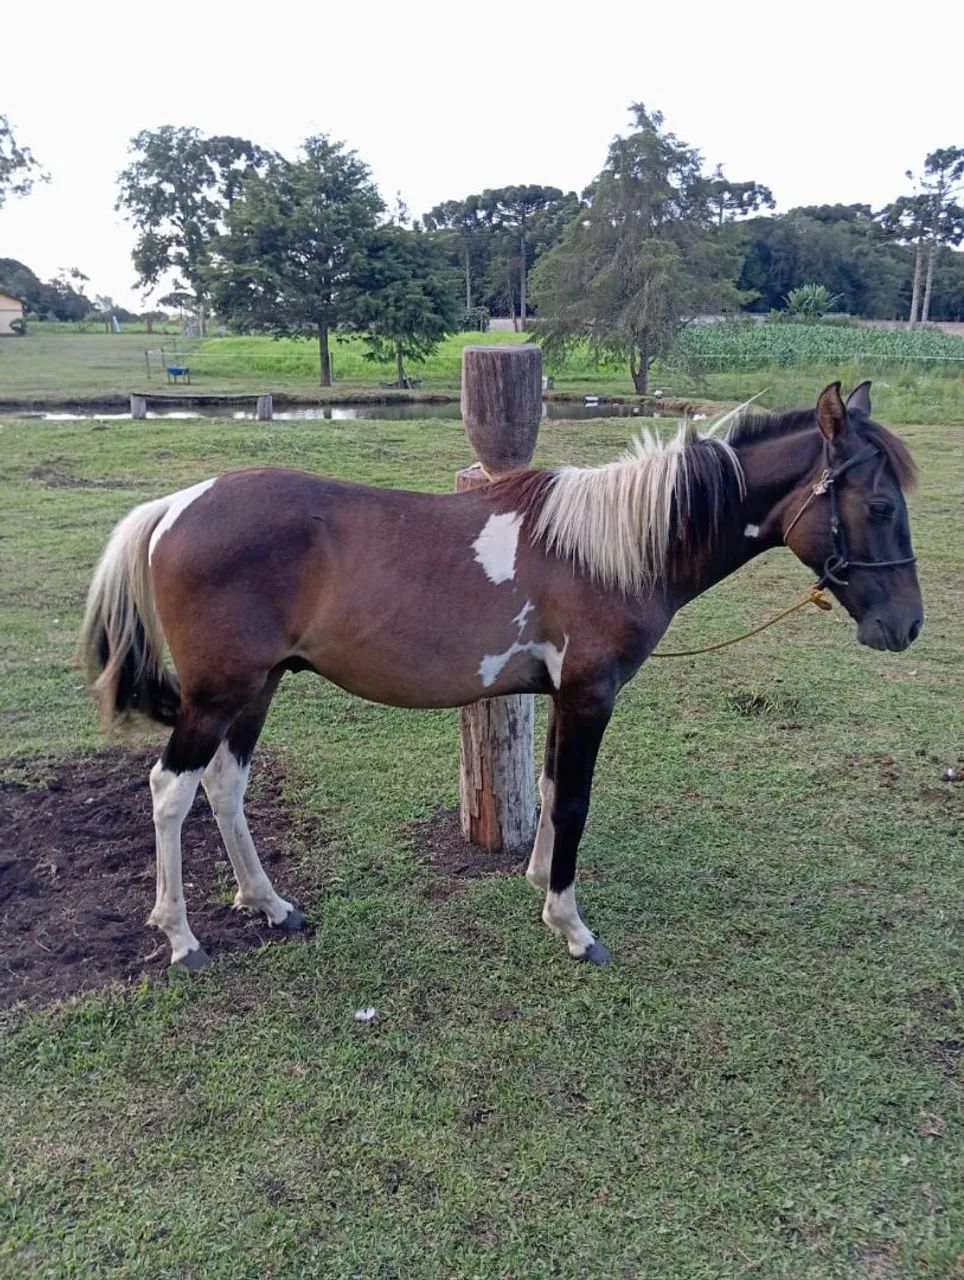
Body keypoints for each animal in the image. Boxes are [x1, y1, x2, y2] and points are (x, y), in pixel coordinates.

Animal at [78, 381, 922, 972]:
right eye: (880, 504)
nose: (907, 626)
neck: (612, 549)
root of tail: (177, 506)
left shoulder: (562, 698)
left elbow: (549, 792)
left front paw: (539, 883)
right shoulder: (589, 695)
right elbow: (575, 802)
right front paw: (572, 926)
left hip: (259, 686)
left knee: (225, 787)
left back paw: (270, 905)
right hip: (218, 694)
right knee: (170, 791)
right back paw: (182, 939)